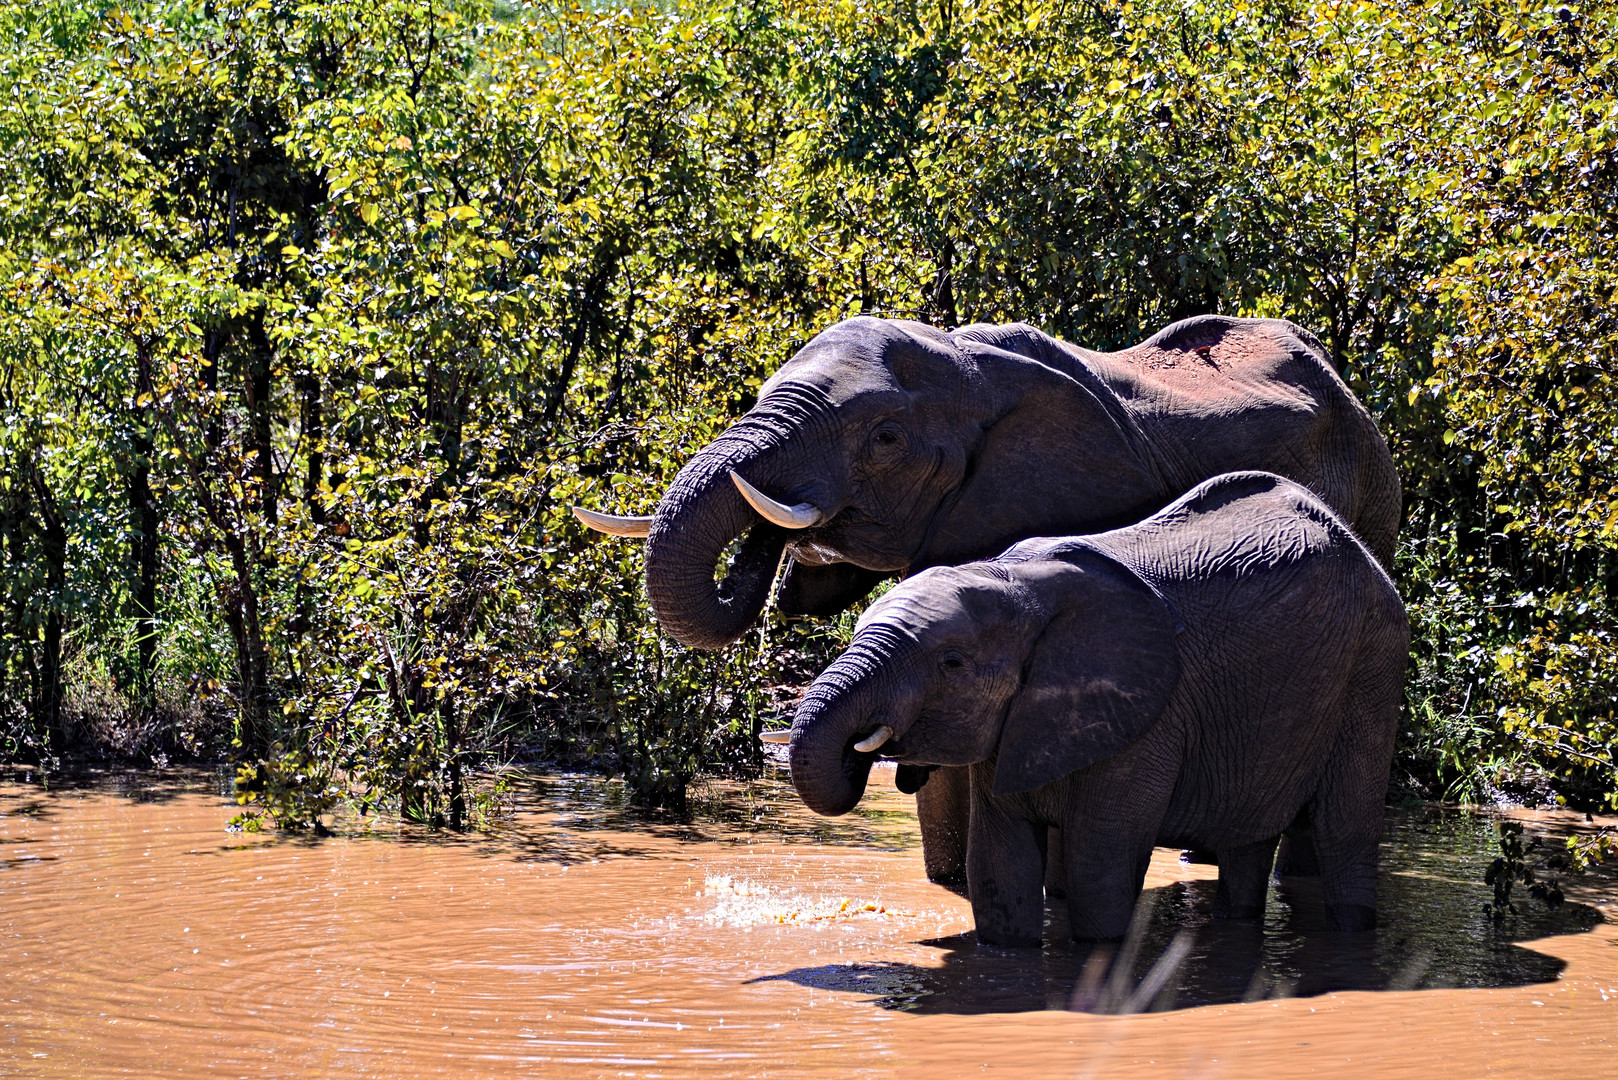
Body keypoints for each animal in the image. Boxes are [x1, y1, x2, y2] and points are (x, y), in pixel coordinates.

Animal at [779, 472, 1404, 945]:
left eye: (951, 663)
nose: (870, 756)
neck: (1017, 582)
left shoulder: (1150, 715)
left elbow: (1098, 868)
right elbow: (999, 866)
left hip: (1372, 669)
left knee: (1345, 831)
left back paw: (1351, 935)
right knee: (1247, 838)